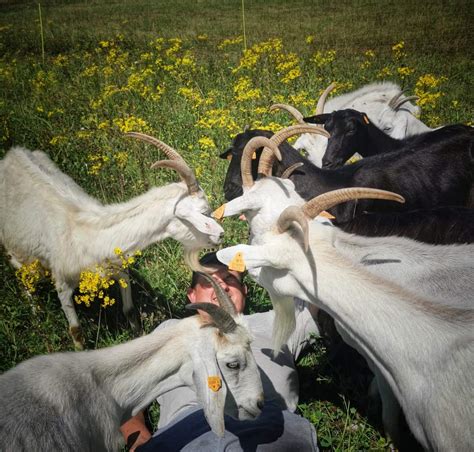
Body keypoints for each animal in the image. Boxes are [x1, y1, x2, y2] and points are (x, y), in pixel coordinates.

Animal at [0, 132, 224, 348]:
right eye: (205, 212)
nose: (221, 235)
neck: (88, 234)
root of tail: (13, 153)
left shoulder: (119, 269)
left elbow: (130, 311)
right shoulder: (62, 282)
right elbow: (76, 331)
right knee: (24, 279)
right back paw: (36, 316)